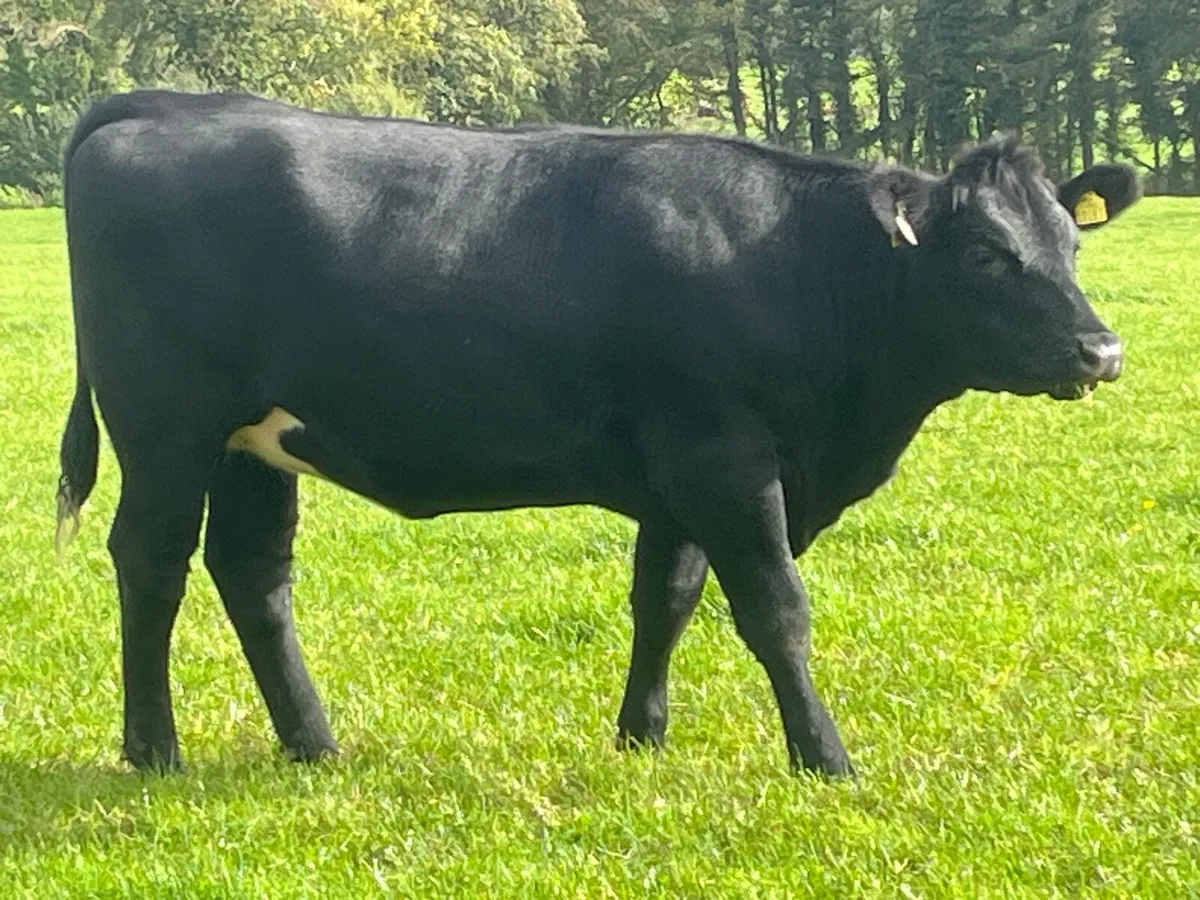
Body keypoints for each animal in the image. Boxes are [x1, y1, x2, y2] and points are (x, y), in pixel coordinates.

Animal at [56, 90, 1140, 777]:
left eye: (1071, 241)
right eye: (987, 253)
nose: (1101, 351)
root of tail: (162, 102)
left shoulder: (681, 473)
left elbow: (665, 601)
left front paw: (640, 738)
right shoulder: (727, 460)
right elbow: (775, 610)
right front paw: (825, 758)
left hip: (254, 443)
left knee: (253, 573)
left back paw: (312, 744)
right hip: (166, 426)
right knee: (151, 561)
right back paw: (154, 750)